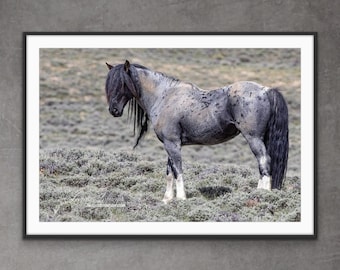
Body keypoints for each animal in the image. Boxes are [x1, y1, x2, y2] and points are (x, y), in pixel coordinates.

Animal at [105, 59, 288, 202]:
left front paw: (181, 198)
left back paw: (261, 195)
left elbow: (178, 170)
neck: (164, 96)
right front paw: (167, 199)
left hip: (253, 138)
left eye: (122, 83)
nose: (114, 110)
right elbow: (170, 171)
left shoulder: (172, 143)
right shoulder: (170, 144)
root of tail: (265, 90)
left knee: (264, 162)